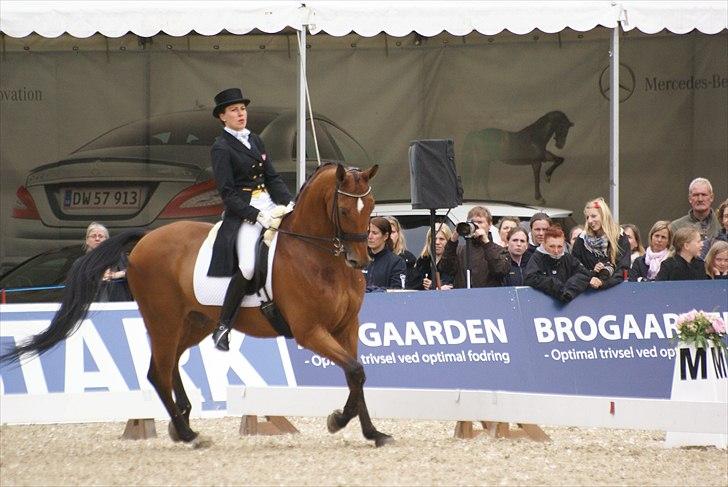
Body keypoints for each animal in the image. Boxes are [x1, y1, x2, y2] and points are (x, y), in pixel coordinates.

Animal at [0, 164, 392, 450]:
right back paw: (188, 434)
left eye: (372, 208)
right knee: (157, 371)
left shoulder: (346, 327)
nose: (360, 260)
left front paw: (371, 432)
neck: (318, 255)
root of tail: (145, 238)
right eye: (344, 209)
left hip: (196, 321)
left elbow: (357, 374)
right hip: (163, 319)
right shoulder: (310, 332)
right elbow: (355, 370)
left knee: (170, 363)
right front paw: (338, 420)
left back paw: (183, 421)